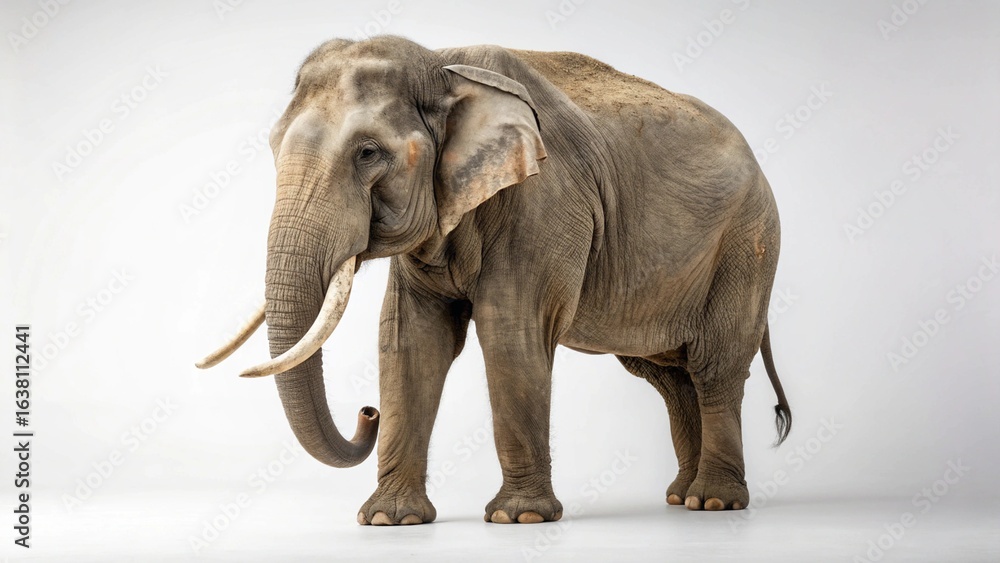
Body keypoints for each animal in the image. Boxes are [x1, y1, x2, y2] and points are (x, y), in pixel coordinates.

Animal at [197, 35, 792, 526]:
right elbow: (409, 340)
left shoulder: (544, 200)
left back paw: (713, 502)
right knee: (668, 376)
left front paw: (518, 517)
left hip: (748, 244)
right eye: (273, 147)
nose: (367, 411)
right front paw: (389, 520)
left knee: (713, 367)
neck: (442, 66)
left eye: (368, 153)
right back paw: (679, 498)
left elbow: (510, 330)